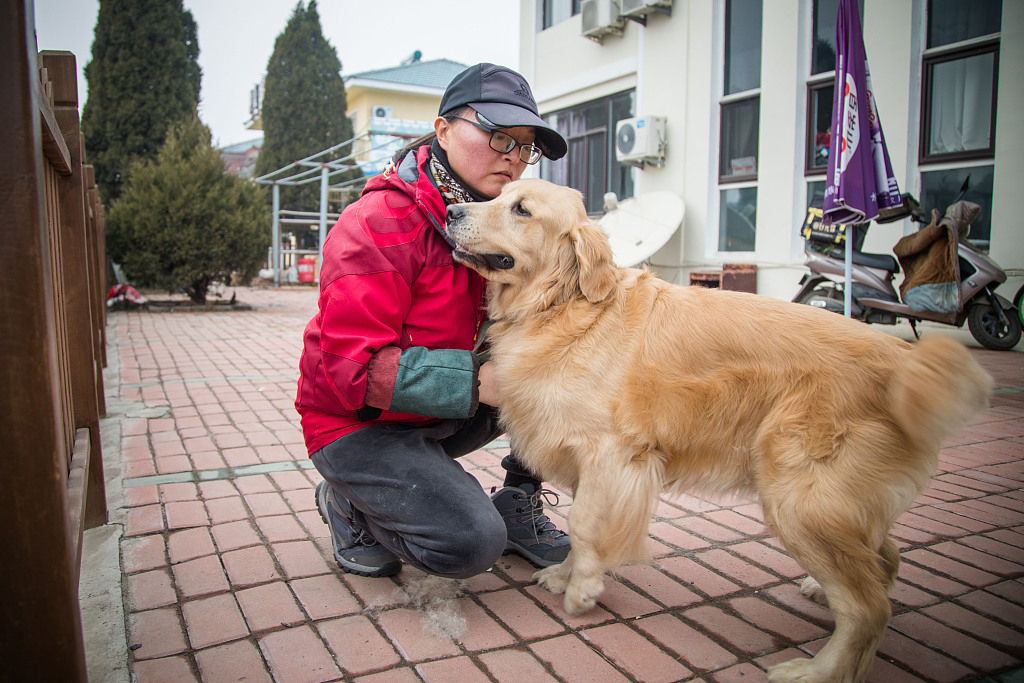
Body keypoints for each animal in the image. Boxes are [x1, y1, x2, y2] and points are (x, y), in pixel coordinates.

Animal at [446, 180, 991, 683]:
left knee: (869, 607)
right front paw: (565, 575)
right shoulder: (591, 464)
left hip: (800, 499)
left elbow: (584, 525)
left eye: (521, 209)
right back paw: (824, 593)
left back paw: (819, 670)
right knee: (886, 560)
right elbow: (584, 527)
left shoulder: (612, 454)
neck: (563, 304)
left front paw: (583, 591)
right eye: (500, 195)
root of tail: (905, 361)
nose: (451, 211)